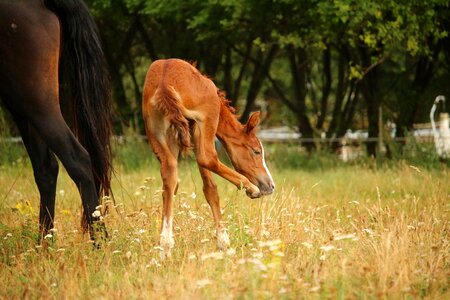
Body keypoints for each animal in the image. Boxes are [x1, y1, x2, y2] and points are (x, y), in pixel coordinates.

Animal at [0, 0, 112, 240]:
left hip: (34, 100)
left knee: (76, 159)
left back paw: (99, 242)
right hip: (21, 104)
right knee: (46, 168)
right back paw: (44, 244)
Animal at [142, 58, 274, 258]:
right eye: (257, 151)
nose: (270, 185)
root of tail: (165, 83)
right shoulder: (196, 126)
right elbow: (210, 187)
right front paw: (224, 242)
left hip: (156, 131)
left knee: (169, 175)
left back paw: (165, 246)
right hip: (202, 123)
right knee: (208, 158)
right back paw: (251, 187)